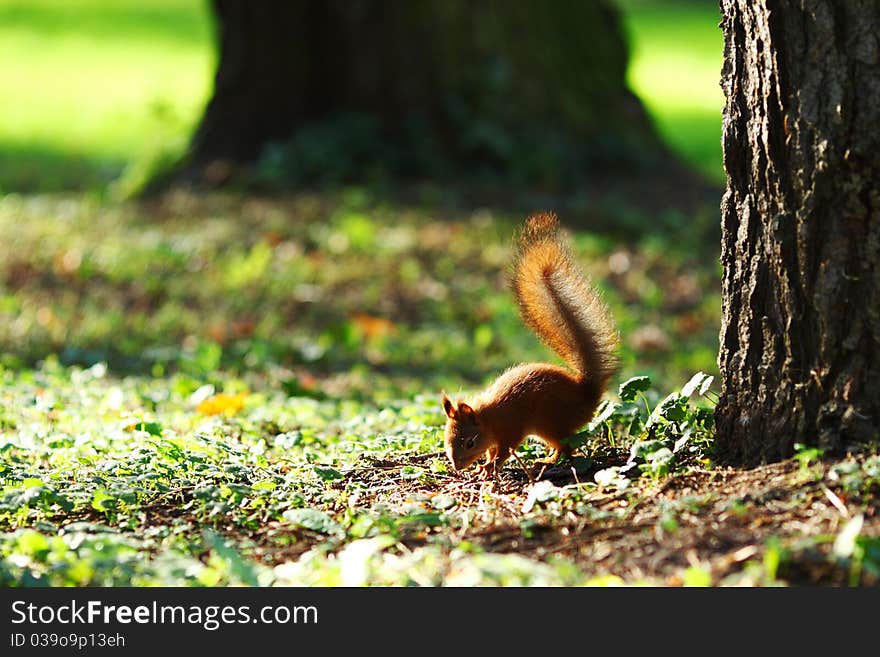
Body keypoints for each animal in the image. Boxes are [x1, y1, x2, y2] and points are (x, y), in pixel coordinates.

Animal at [440, 213, 620, 480]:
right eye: (446, 438)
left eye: (470, 442)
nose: (457, 466)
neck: (489, 418)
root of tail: (587, 395)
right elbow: (492, 452)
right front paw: (484, 467)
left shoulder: (510, 430)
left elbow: (503, 453)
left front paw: (488, 469)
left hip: (549, 422)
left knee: (566, 448)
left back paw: (547, 462)